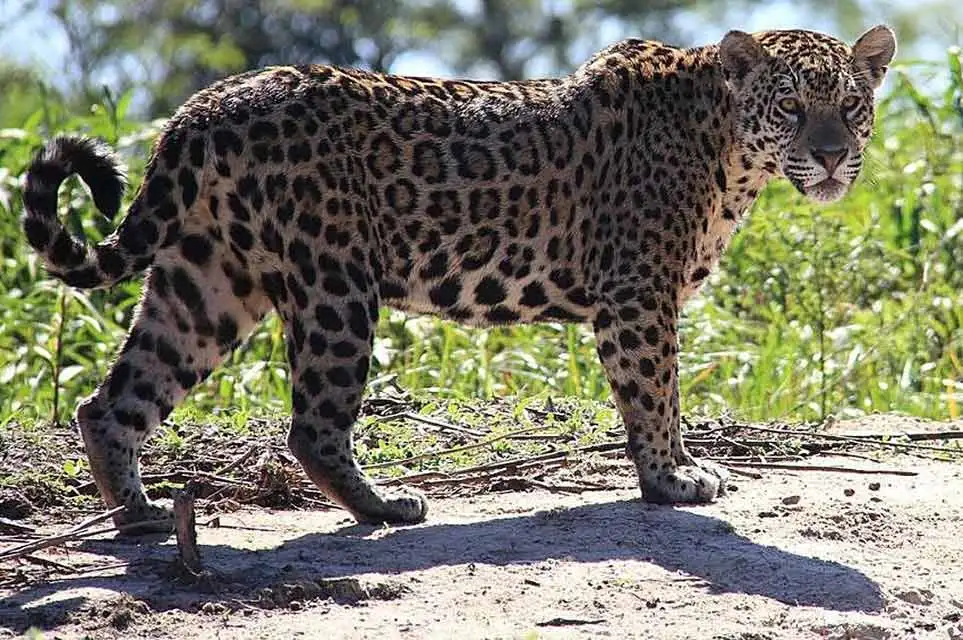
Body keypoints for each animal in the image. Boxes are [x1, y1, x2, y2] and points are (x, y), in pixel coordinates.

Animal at [22, 25, 896, 534]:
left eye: (850, 105)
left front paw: (677, 470)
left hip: (205, 281)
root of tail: (196, 108)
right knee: (312, 425)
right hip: (335, 285)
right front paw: (670, 478)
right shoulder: (637, 291)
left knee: (112, 401)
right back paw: (385, 506)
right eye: (789, 107)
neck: (728, 152)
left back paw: (137, 517)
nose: (828, 157)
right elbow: (655, 390)